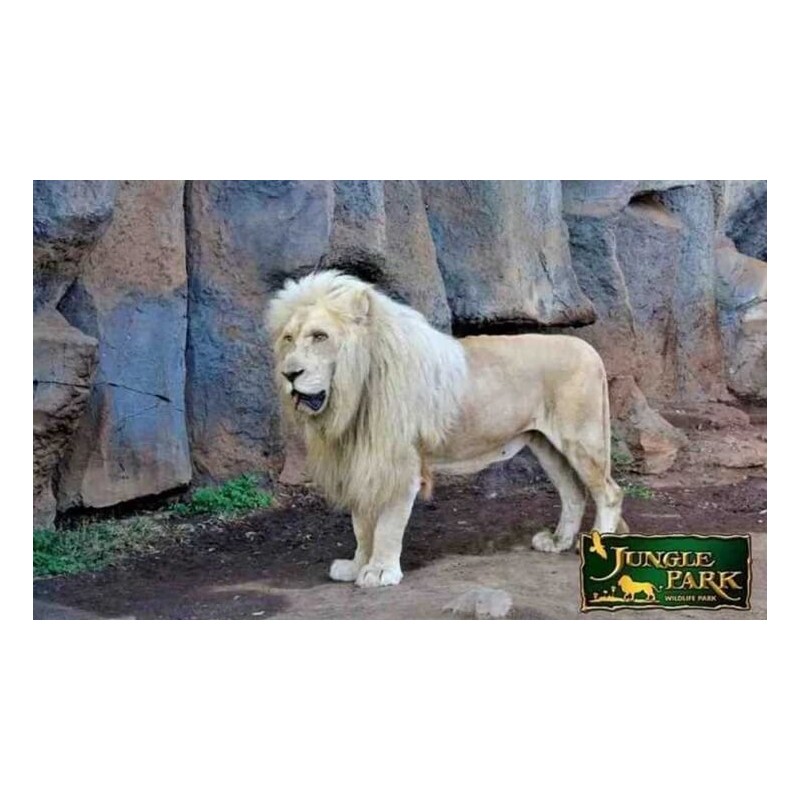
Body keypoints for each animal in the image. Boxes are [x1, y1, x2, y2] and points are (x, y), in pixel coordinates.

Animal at [268, 270, 625, 588]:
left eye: (320, 336)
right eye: (289, 338)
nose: (289, 374)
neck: (353, 396)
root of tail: (590, 351)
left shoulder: (399, 462)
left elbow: (386, 525)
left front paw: (380, 572)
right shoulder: (362, 459)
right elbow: (362, 524)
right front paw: (357, 566)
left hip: (582, 439)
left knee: (609, 492)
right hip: (546, 444)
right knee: (574, 493)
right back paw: (558, 541)